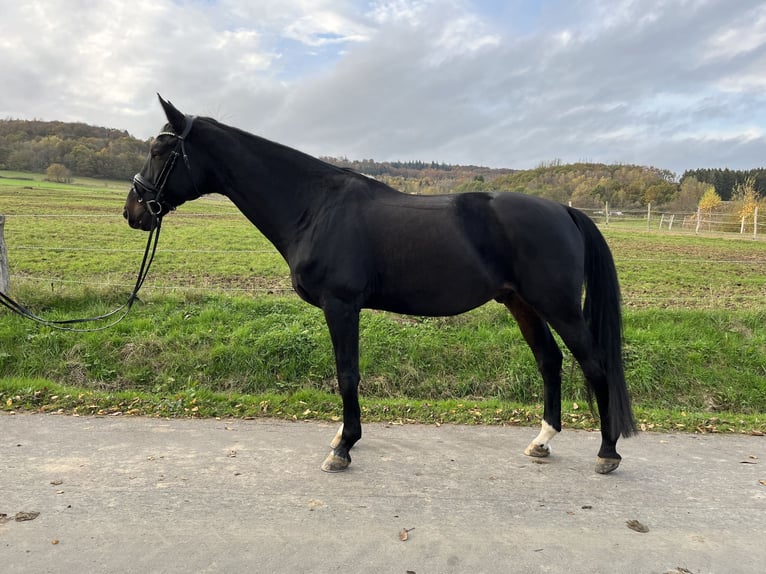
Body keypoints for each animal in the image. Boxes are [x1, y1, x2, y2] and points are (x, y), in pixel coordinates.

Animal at [124, 97, 636, 476]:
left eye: (160, 151)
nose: (134, 211)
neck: (316, 208)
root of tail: (564, 210)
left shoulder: (341, 306)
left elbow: (346, 373)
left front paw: (343, 448)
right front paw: (343, 438)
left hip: (559, 306)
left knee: (595, 366)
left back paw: (607, 452)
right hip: (521, 303)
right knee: (549, 361)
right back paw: (542, 440)